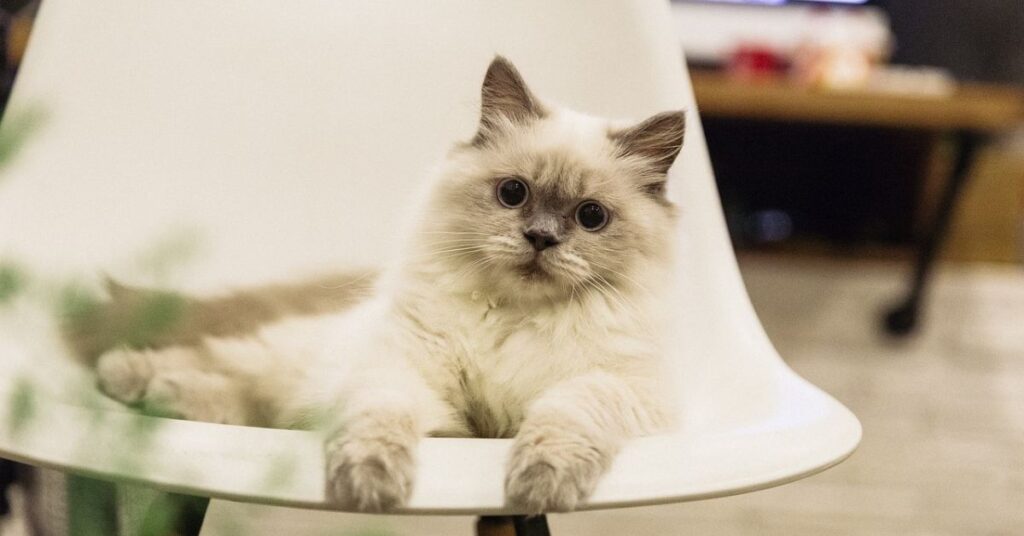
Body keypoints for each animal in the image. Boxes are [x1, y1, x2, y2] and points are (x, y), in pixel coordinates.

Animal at [86, 56, 688, 514]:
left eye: (591, 217)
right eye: (513, 193)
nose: (541, 238)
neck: (516, 318)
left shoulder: (618, 387)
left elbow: (564, 419)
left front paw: (541, 484)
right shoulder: (402, 370)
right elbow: (379, 423)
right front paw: (370, 486)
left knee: (248, 404)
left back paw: (163, 396)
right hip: (283, 359)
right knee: (215, 363)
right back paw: (124, 375)